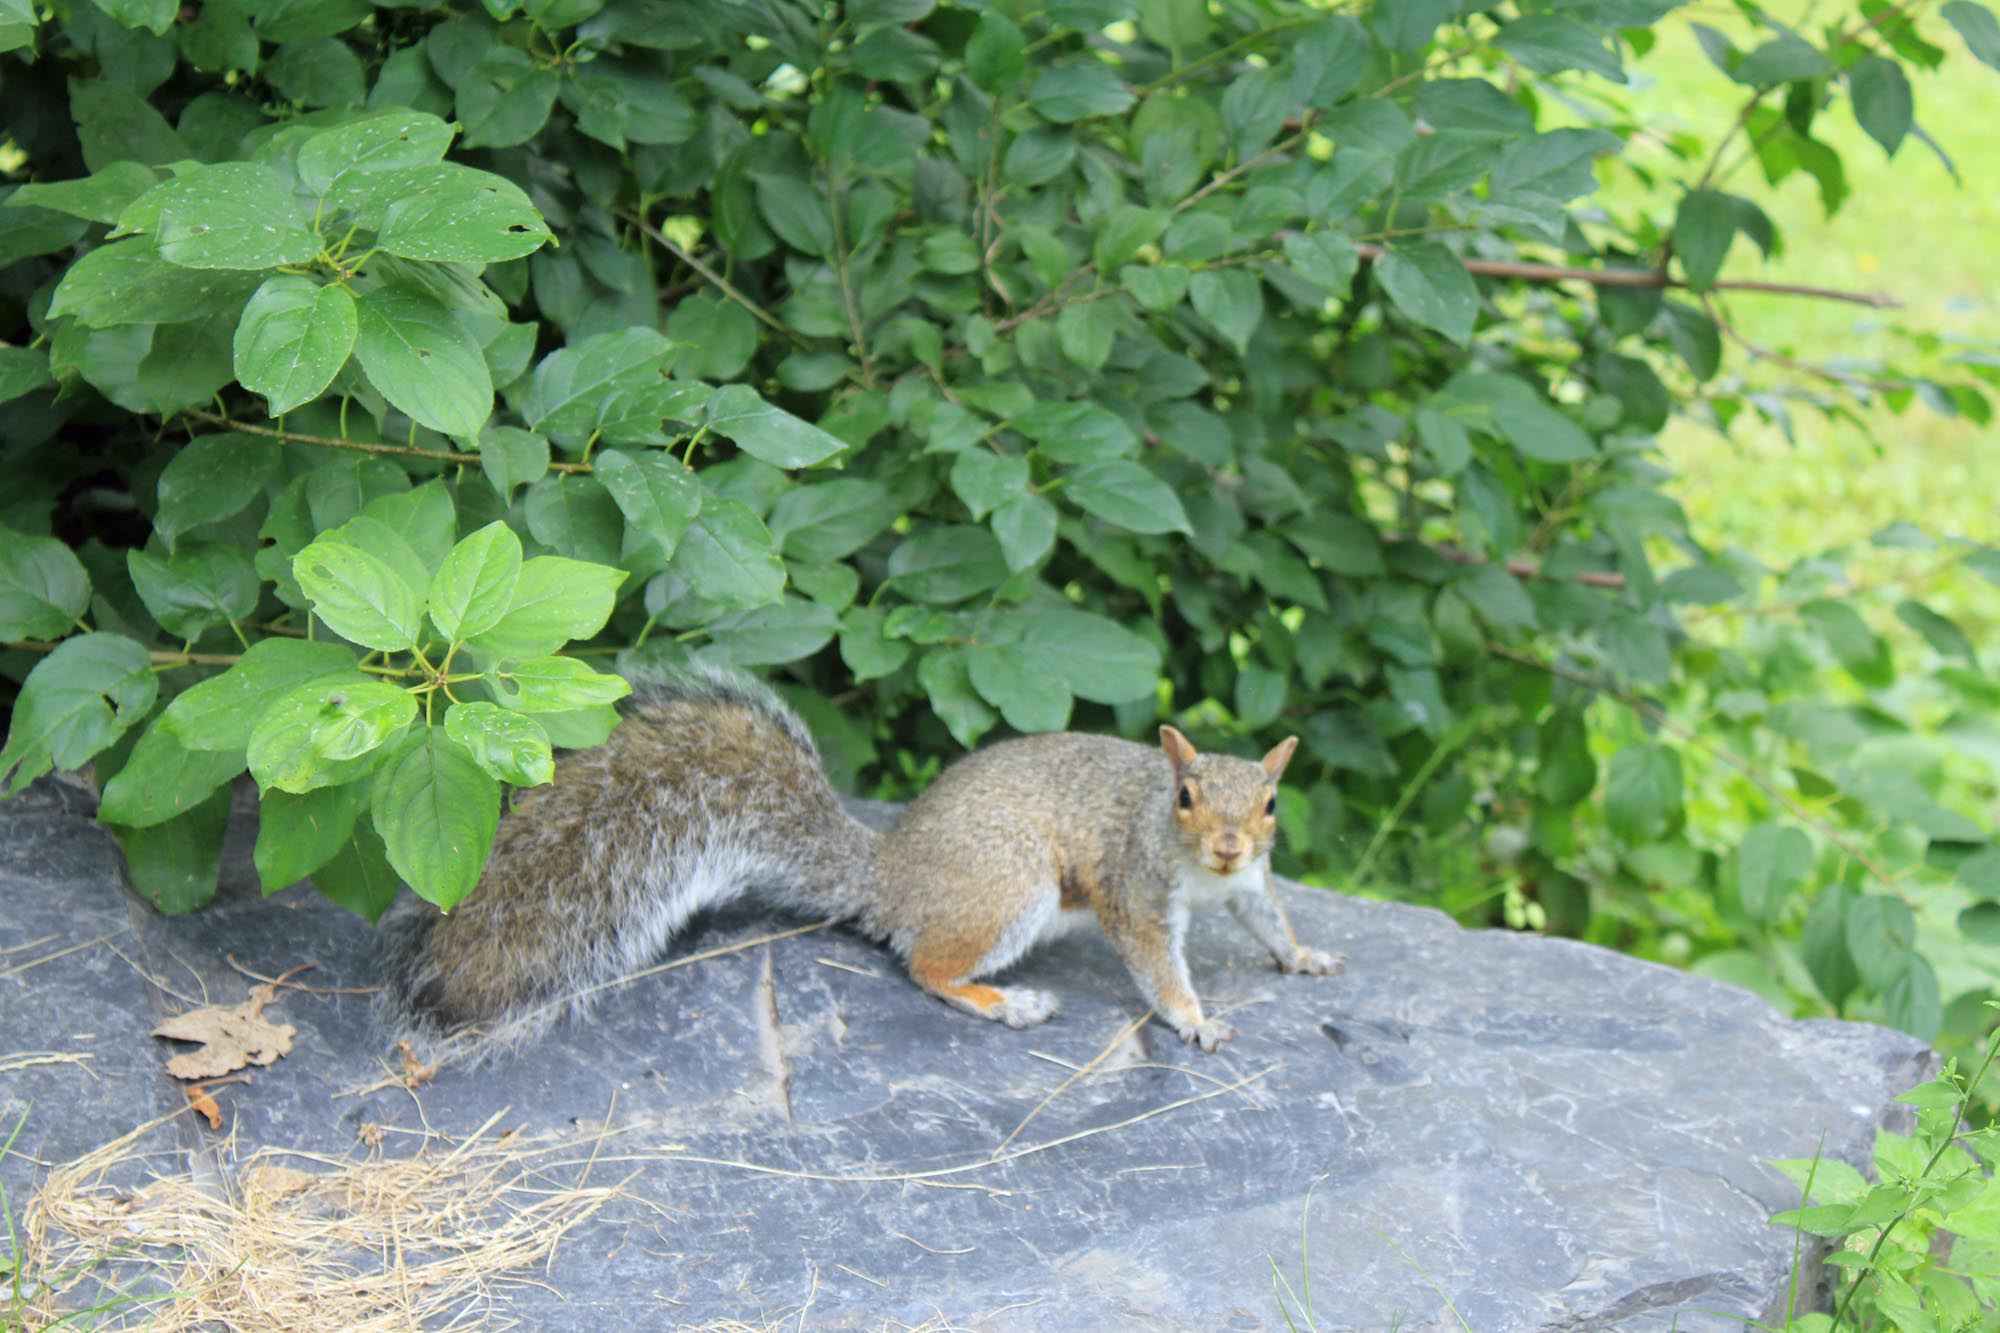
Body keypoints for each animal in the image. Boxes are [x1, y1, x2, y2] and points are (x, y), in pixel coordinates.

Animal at [376, 668, 1344, 1056]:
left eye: (1269, 804)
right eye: (1183, 796)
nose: (1227, 843)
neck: (1205, 875)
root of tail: (888, 875)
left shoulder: (1252, 885)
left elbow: (1270, 917)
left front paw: (1305, 957)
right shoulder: (1138, 888)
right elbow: (1157, 965)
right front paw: (1196, 1020)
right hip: (1009, 888)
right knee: (925, 964)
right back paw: (1005, 1000)